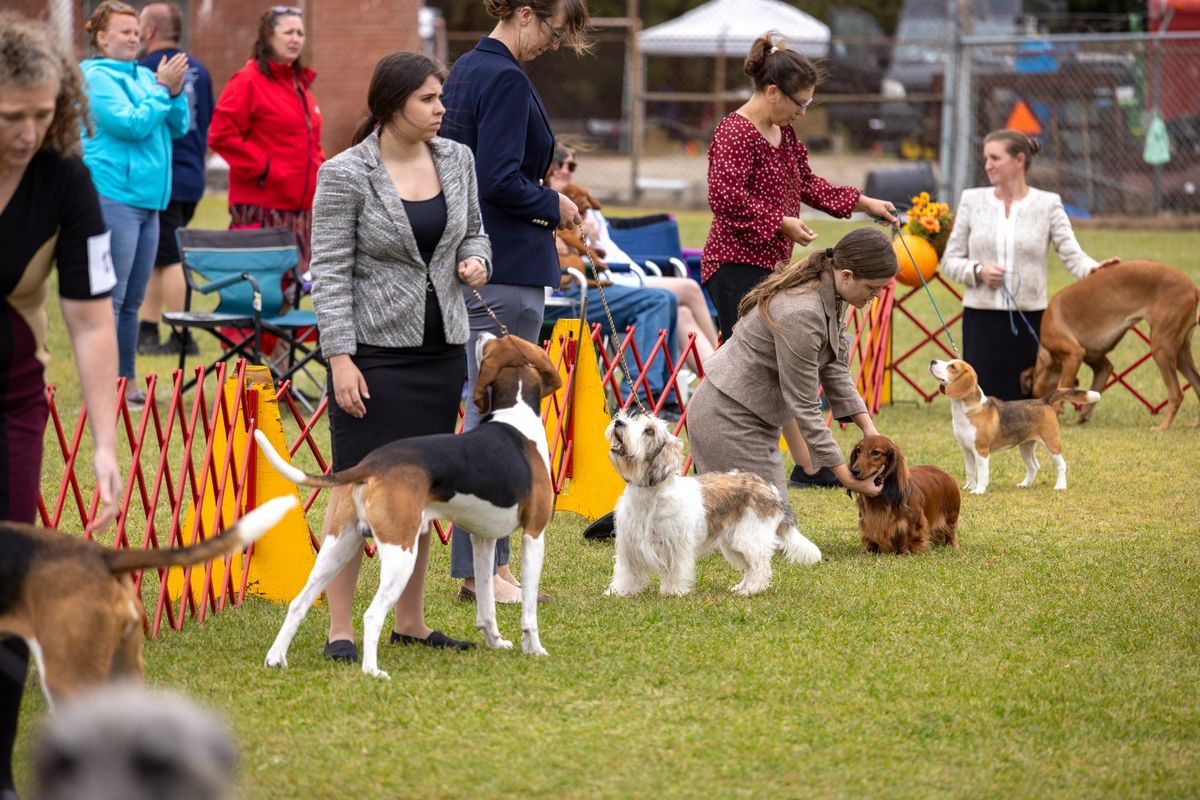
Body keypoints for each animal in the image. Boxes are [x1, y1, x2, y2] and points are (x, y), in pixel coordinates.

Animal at [604, 410, 820, 597]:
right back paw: (741, 587)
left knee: (760, 567)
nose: (619, 422)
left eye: (649, 431)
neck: (648, 496)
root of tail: (769, 488)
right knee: (750, 567)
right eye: (633, 418)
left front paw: (673, 591)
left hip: (750, 539)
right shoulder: (628, 545)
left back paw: (751, 590)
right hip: (734, 544)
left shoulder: (677, 545)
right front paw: (619, 592)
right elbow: (626, 572)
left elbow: (676, 570)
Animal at [931, 357, 1099, 494]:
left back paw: (1060, 486)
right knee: (1034, 466)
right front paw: (968, 487)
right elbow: (970, 471)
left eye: (952, 367)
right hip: (1025, 446)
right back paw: (1025, 484)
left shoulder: (981, 451)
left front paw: (979, 490)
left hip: (1051, 443)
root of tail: (1043, 400)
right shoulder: (966, 450)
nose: (932, 361)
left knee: (1061, 465)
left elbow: (982, 472)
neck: (967, 409)